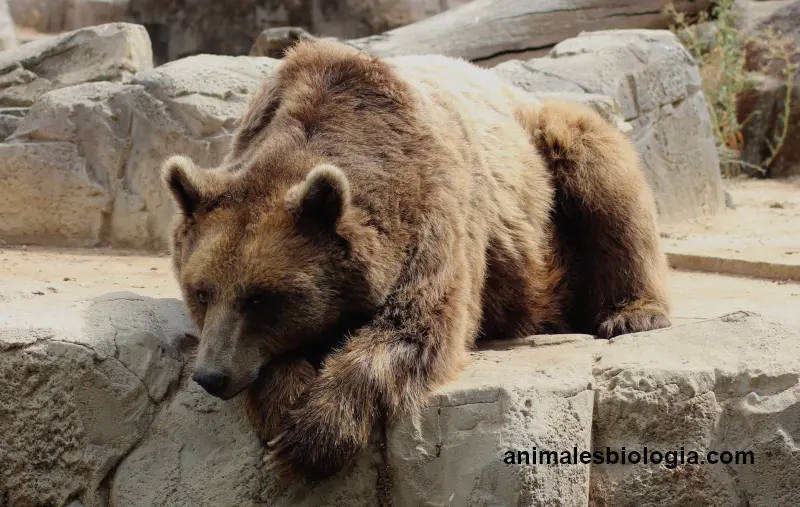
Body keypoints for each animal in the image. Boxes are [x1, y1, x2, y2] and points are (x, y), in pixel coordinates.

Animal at [161, 39, 668, 484]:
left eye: (262, 299)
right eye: (201, 291)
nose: (211, 375)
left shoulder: (434, 211)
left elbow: (417, 325)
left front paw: (311, 438)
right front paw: (286, 410)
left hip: (543, 173)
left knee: (600, 170)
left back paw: (632, 312)